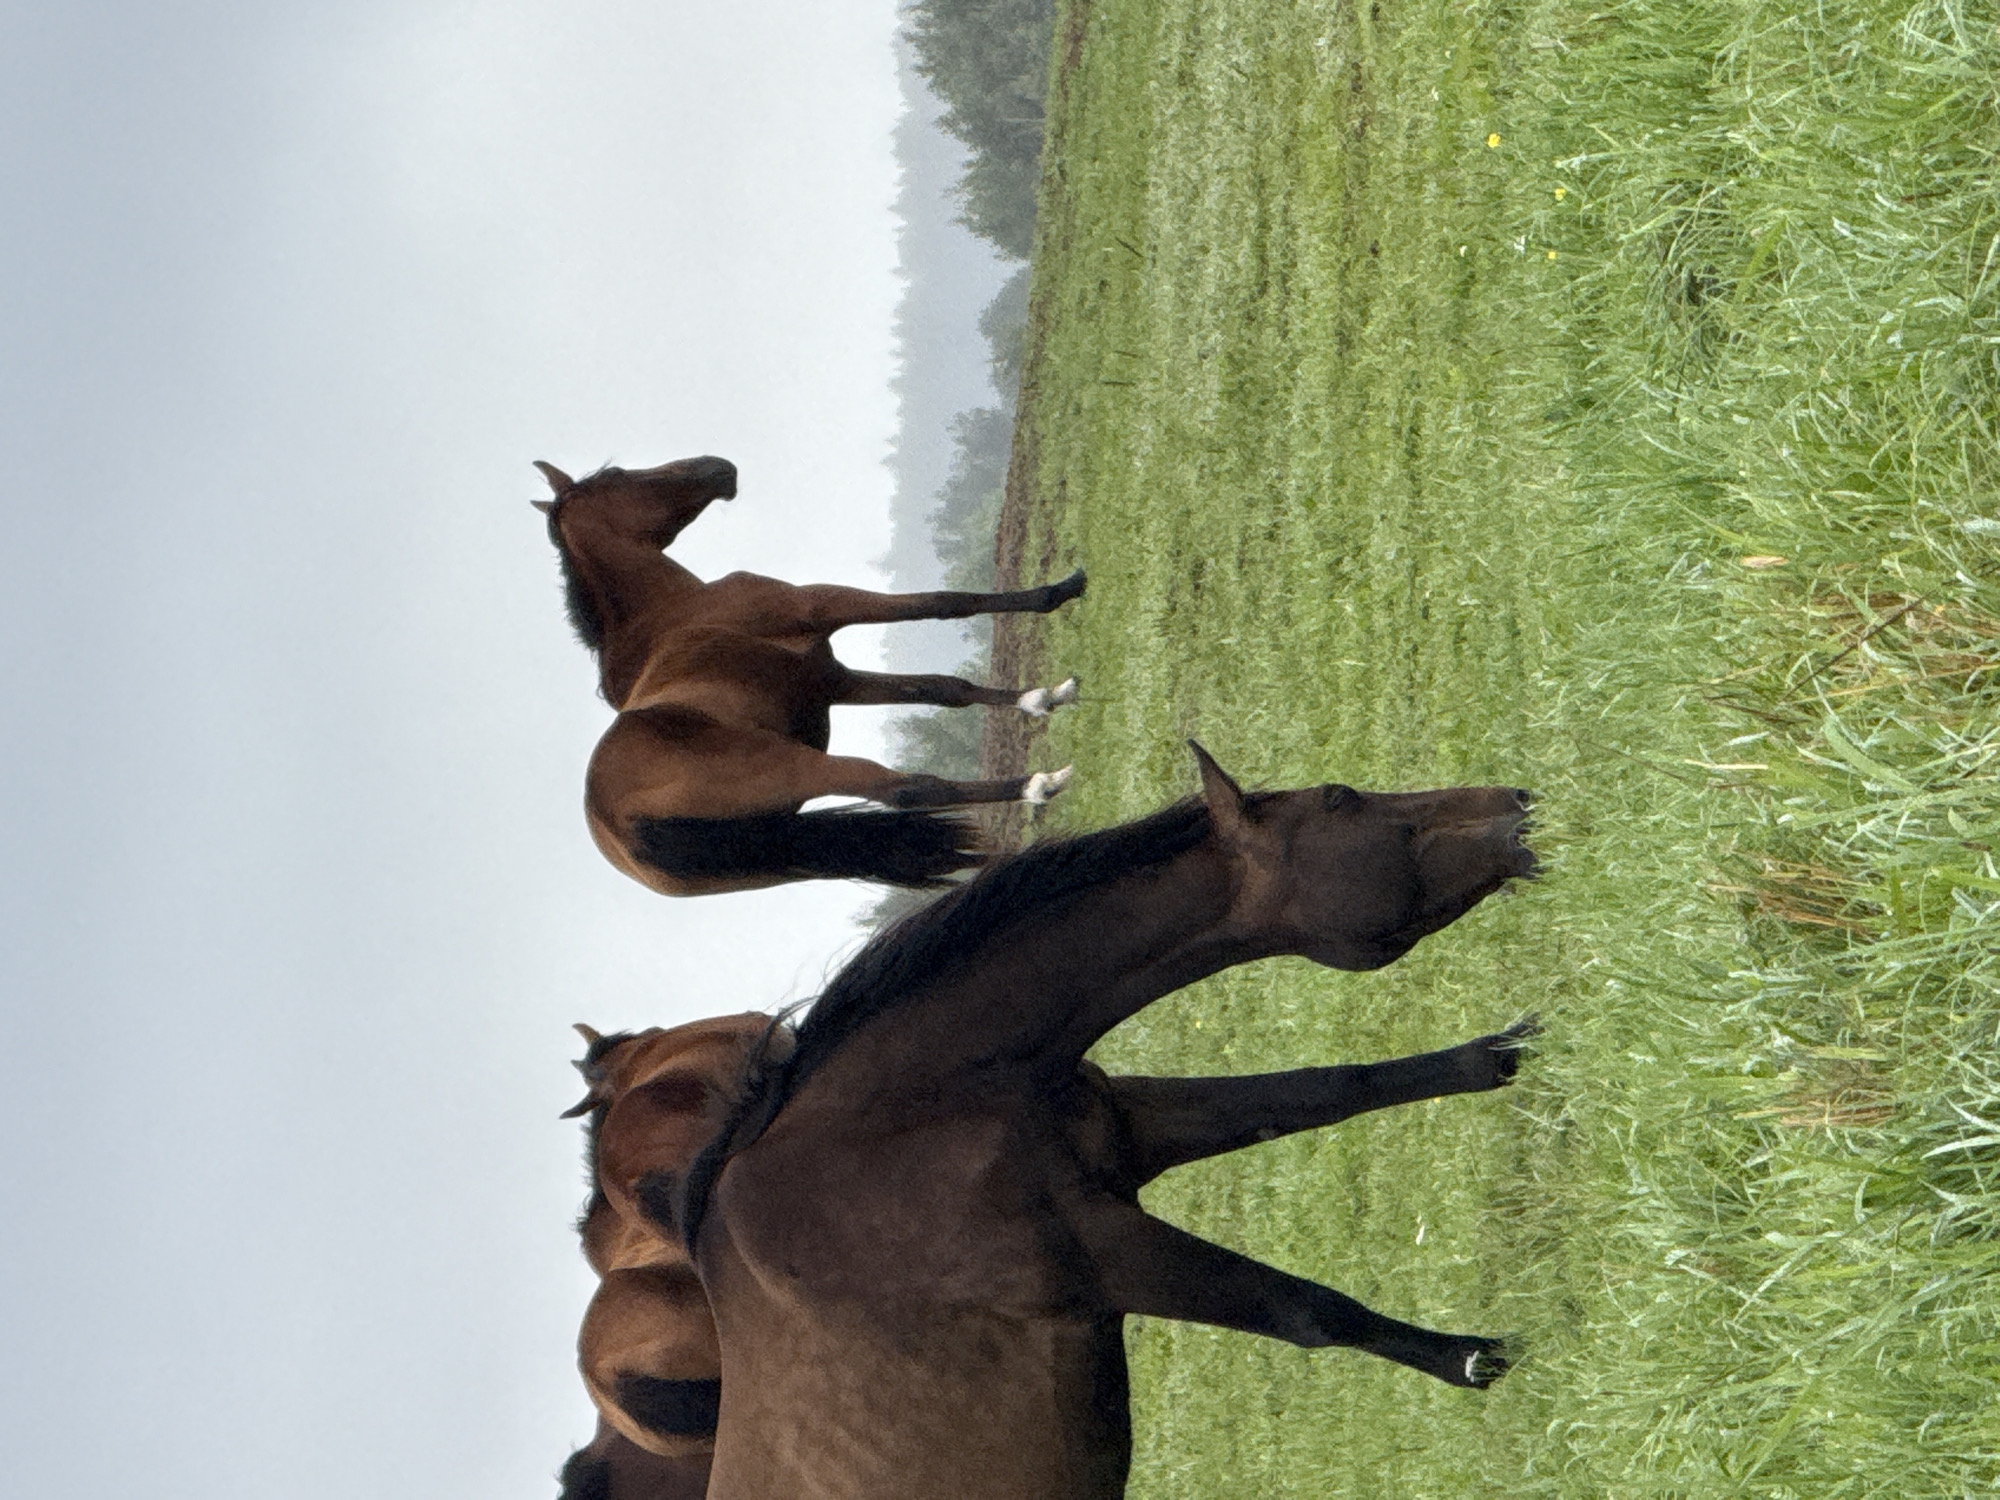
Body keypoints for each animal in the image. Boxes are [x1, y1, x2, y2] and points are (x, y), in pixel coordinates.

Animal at [534, 456, 1086, 895]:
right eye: (617, 475)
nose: (718, 467)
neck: (674, 611)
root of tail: (617, 829)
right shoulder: (824, 605)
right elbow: (944, 603)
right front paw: (1060, 590)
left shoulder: (834, 680)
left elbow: (945, 689)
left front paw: (1041, 698)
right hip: (803, 766)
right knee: (910, 789)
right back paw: (1039, 785)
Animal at [557, 1007, 1536, 1499]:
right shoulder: (1093, 1249)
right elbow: (1307, 1311)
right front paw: (1472, 1358)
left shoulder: (1126, 1128)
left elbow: (1318, 1090)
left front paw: (1494, 1058)